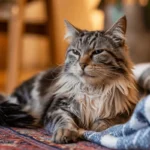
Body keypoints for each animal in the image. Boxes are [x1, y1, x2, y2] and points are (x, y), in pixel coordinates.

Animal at [0, 15, 138, 144]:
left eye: (98, 52)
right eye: (76, 52)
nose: (82, 64)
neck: (92, 90)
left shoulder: (125, 112)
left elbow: (109, 121)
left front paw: (96, 129)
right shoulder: (57, 109)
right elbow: (64, 121)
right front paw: (65, 133)